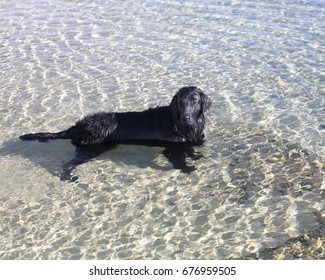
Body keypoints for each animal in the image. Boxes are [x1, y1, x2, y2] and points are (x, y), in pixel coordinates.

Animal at [20, 86, 213, 180]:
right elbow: (180, 161)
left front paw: (196, 157)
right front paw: (188, 168)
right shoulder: (172, 149)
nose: (186, 118)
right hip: (90, 149)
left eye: (195, 101)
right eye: (180, 102)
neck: (180, 125)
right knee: (68, 164)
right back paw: (67, 177)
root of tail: (76, 127)